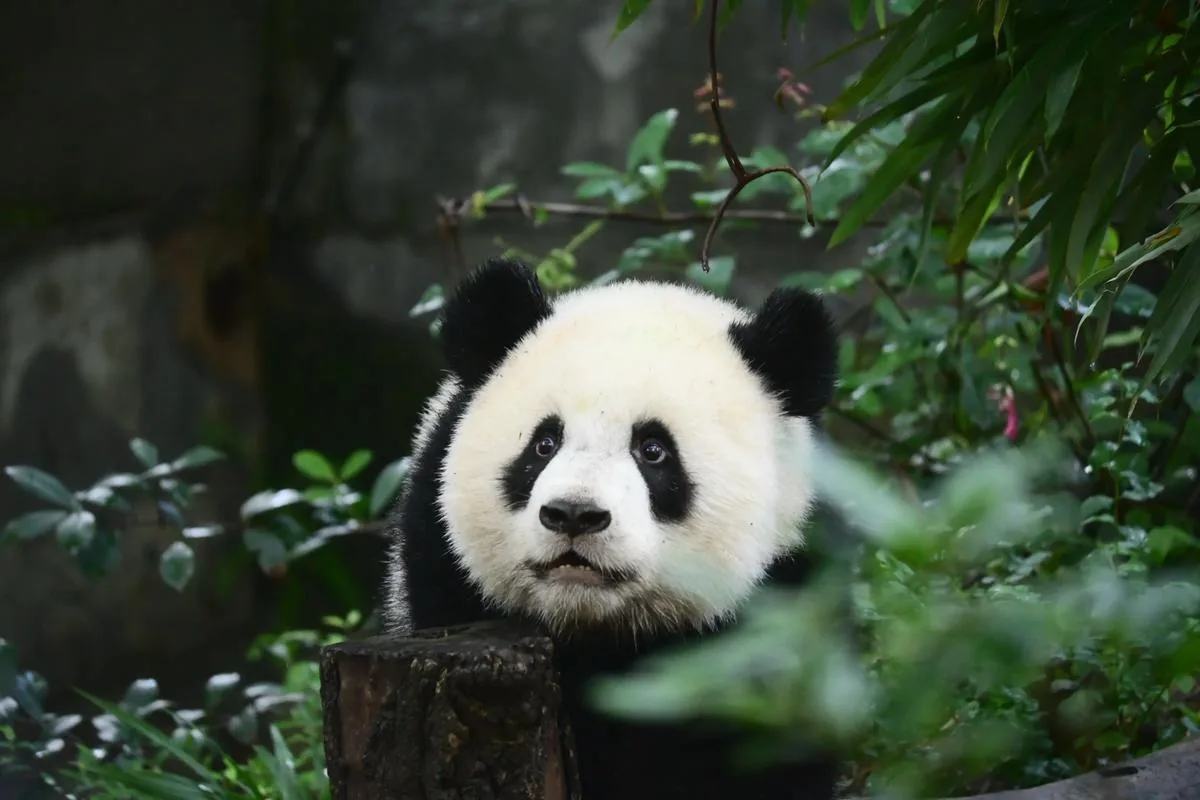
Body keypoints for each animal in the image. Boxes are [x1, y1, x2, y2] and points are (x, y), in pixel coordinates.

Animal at [381, 257, 842, 800]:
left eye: (653, 450)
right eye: (544, 443)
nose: (574, 515)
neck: (596, 628)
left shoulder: (792, 596)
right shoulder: (438, 563)